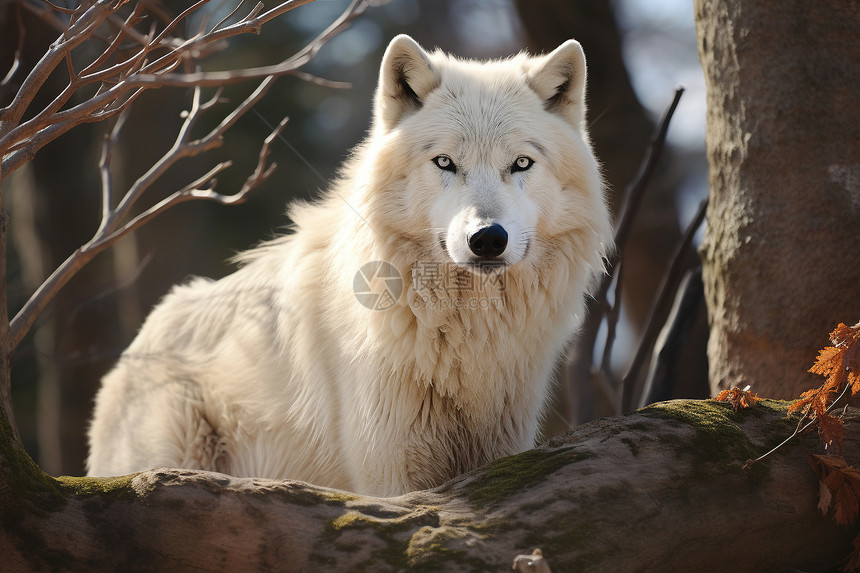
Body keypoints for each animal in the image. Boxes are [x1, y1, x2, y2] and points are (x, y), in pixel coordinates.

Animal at [87, 34, 612, 496]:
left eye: (521, 164)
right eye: (445, 162)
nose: (487, 239)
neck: (466, 335)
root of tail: (133, 351)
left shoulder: (502, 451)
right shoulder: (392, 474)